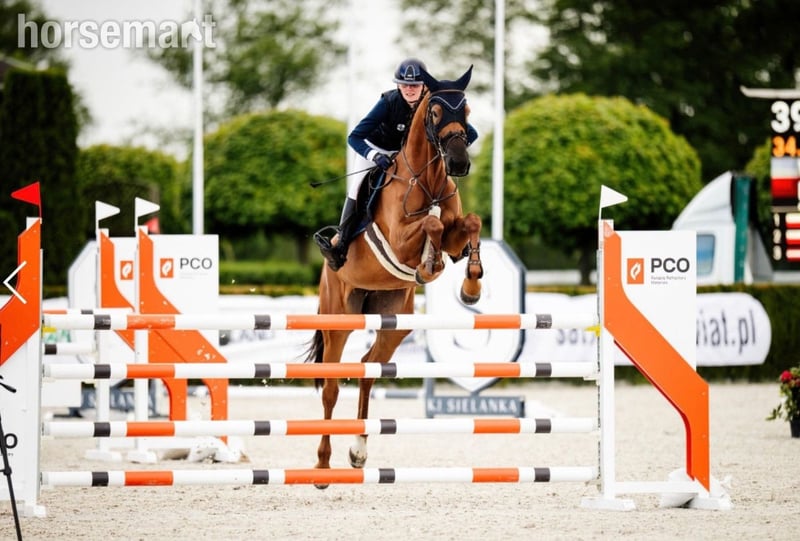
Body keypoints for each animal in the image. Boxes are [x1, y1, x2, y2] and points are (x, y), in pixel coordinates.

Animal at [305, 66, 483, 487]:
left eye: (467, 110)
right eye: (434, 112)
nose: (459, 164)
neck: (428, 178)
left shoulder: (456, 231)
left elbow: (468, 222)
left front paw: (470, 286)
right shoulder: (401, 239)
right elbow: (432, 225)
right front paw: (429, 265)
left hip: (395, 321)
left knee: (368, 369)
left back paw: (358, 451)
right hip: (338, 318)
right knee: (331, 386)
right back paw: (322, 466)